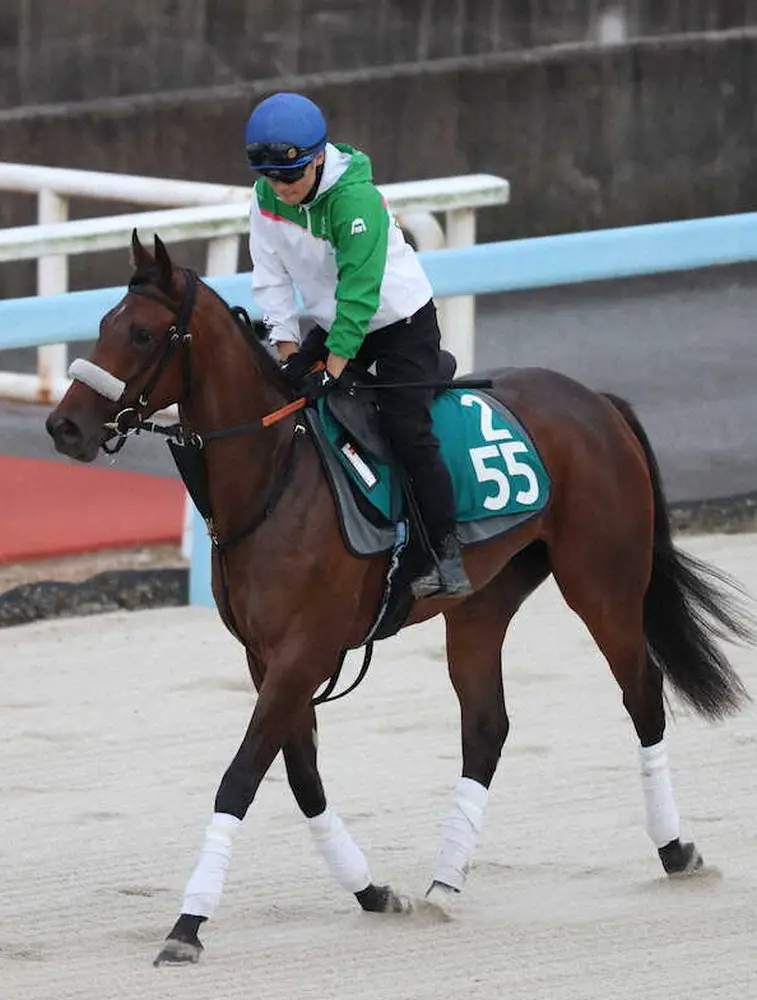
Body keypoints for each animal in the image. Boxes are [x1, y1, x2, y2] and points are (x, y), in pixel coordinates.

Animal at [46, 232, 752, 966]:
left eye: (142, 332)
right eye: (102, 322)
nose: (64, 426)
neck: (273, 475)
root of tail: (595, 400)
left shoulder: (303, 653)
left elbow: (242, 776)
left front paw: (187, 926)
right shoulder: (266, 657)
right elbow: (302, 778)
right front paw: (371, 891)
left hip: (603, 580)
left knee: (642, 691)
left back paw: (675, 849)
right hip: (482, 604)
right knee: (486, 726)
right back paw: (443, 881)